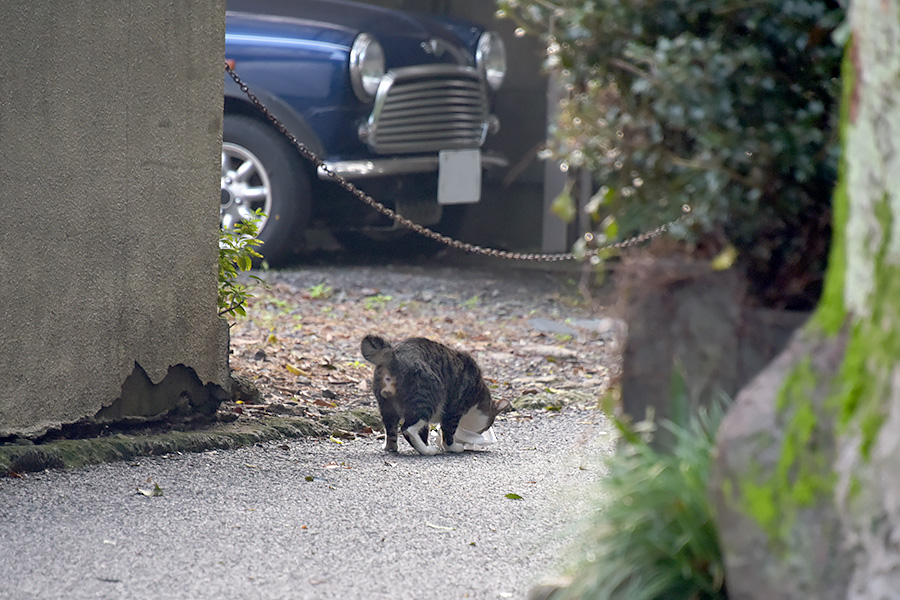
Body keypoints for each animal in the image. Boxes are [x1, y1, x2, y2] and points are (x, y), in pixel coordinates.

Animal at [360, 332, 512, 454]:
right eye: (487, 426)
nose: (481, 432)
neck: (478, 397)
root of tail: (393, 354)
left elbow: (424, 432)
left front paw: (426, 442)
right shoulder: (454, 410)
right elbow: (448, 435)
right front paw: (454, 448)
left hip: (387, 407)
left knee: (391, 431)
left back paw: (391, 448)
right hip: (426, 400)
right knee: (408, 429)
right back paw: (428, 451)